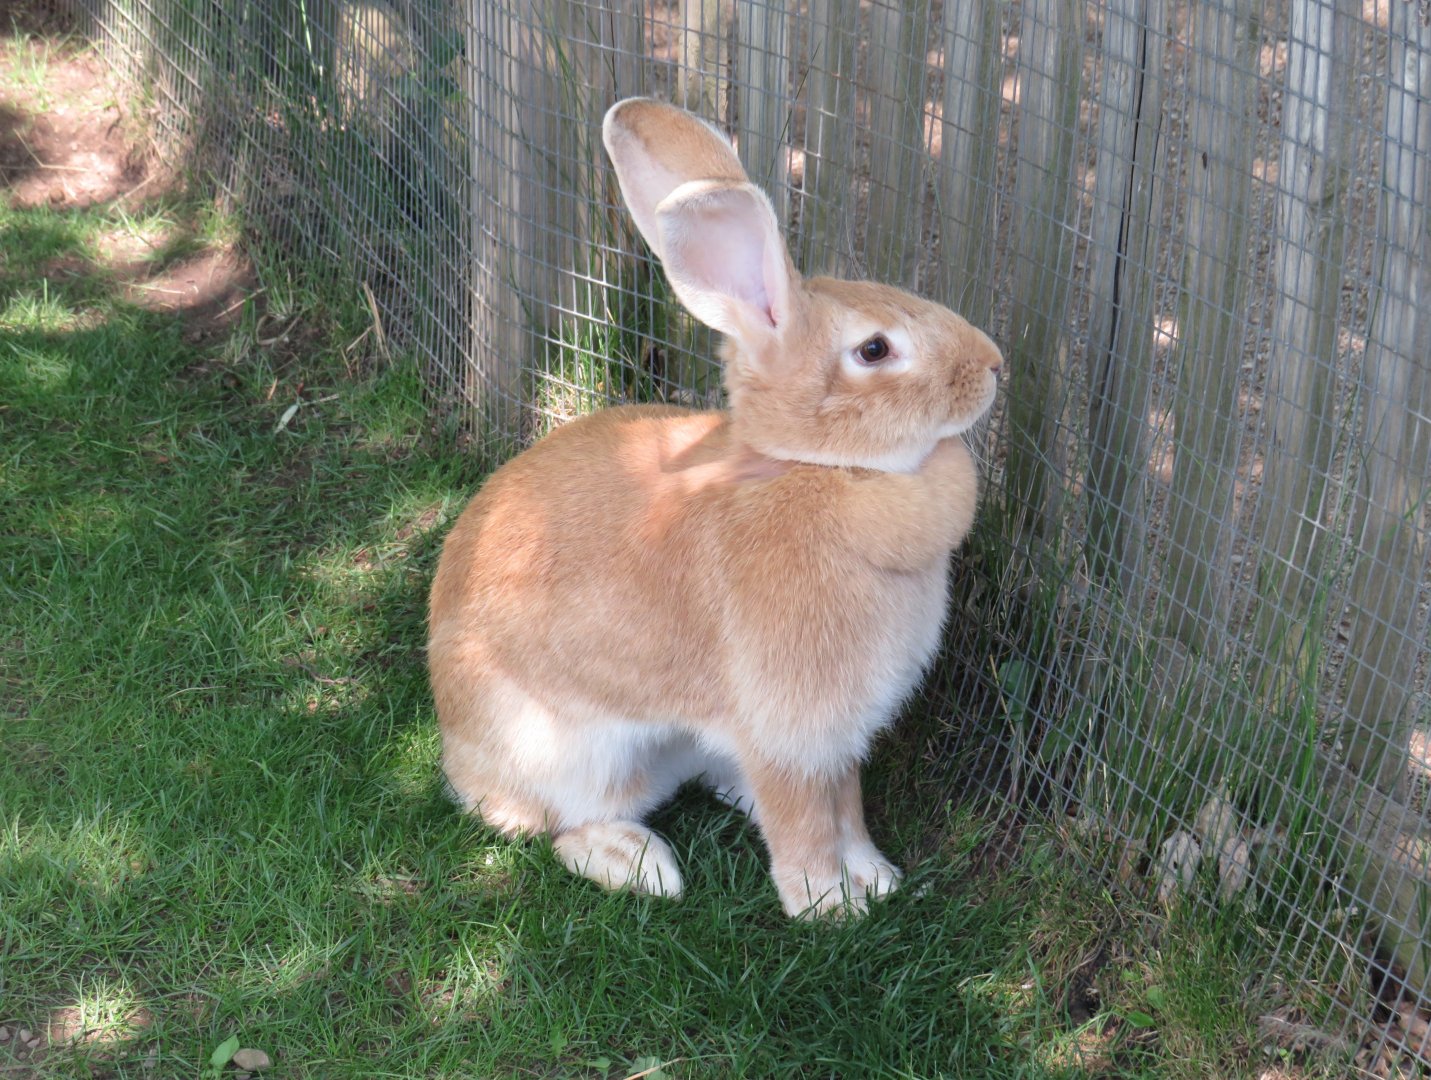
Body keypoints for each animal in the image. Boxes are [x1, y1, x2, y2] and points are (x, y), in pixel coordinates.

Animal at [428, 97, 1002, 917]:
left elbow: (847, 806)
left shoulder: (839, 736)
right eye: (874, 350)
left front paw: (875, 876)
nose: (993, 365)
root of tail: (454, 752)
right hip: (573, 754)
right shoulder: (786, 726)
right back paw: (640, 865)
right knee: (556, 825)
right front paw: (826, 906)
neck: (818, 469)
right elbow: (805, 817)